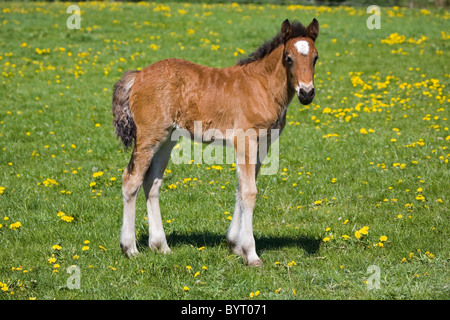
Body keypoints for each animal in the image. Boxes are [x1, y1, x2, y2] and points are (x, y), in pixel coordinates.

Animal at [113, 18, 320, 266]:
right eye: (288, 58)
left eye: (316, 58)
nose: (307, 93)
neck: (262, 86)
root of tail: (138, 75)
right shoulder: (246, 140)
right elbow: (249, 192)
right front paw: (251, 253)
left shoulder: (263, 144)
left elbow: (242, 188)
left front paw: (235, 244)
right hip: (149, 135)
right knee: (131, 179)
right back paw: (130, 248)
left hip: (167, 140)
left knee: (151, 182)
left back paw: (160, 246)